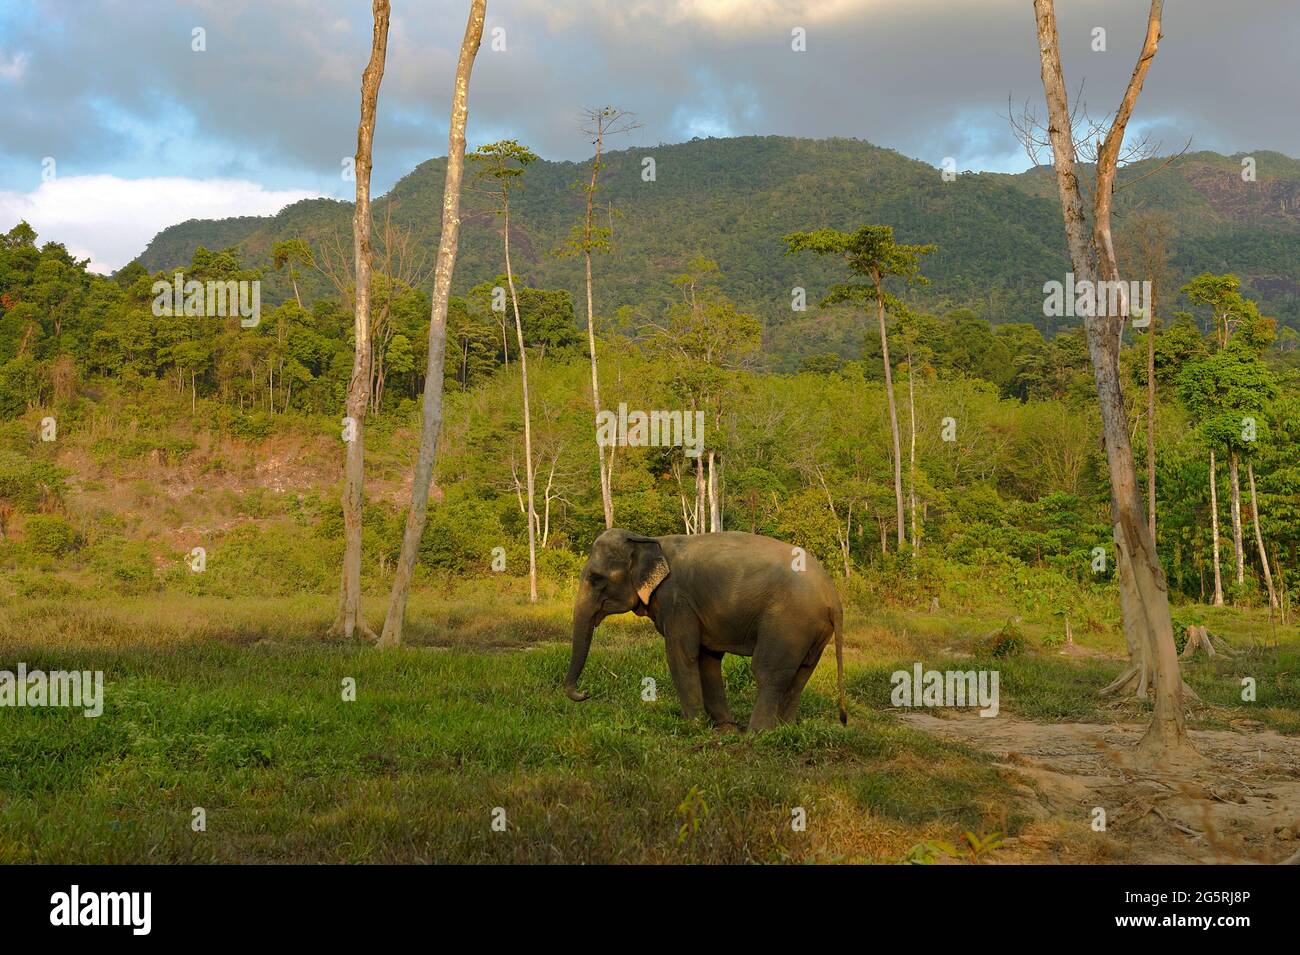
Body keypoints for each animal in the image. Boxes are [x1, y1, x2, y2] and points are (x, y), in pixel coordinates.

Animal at [564, 530, 847, 732]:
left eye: (596, 579)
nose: (585, 693)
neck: (649, 541)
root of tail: (833, 595)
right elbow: (707, 659)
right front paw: (724, 728)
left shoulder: (677, 602)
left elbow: (681, 655)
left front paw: (693, 726)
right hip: (814, 630)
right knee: (801, 673)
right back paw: (784, 729)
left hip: (788, 621)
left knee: (769, 672)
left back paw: (757, 734)